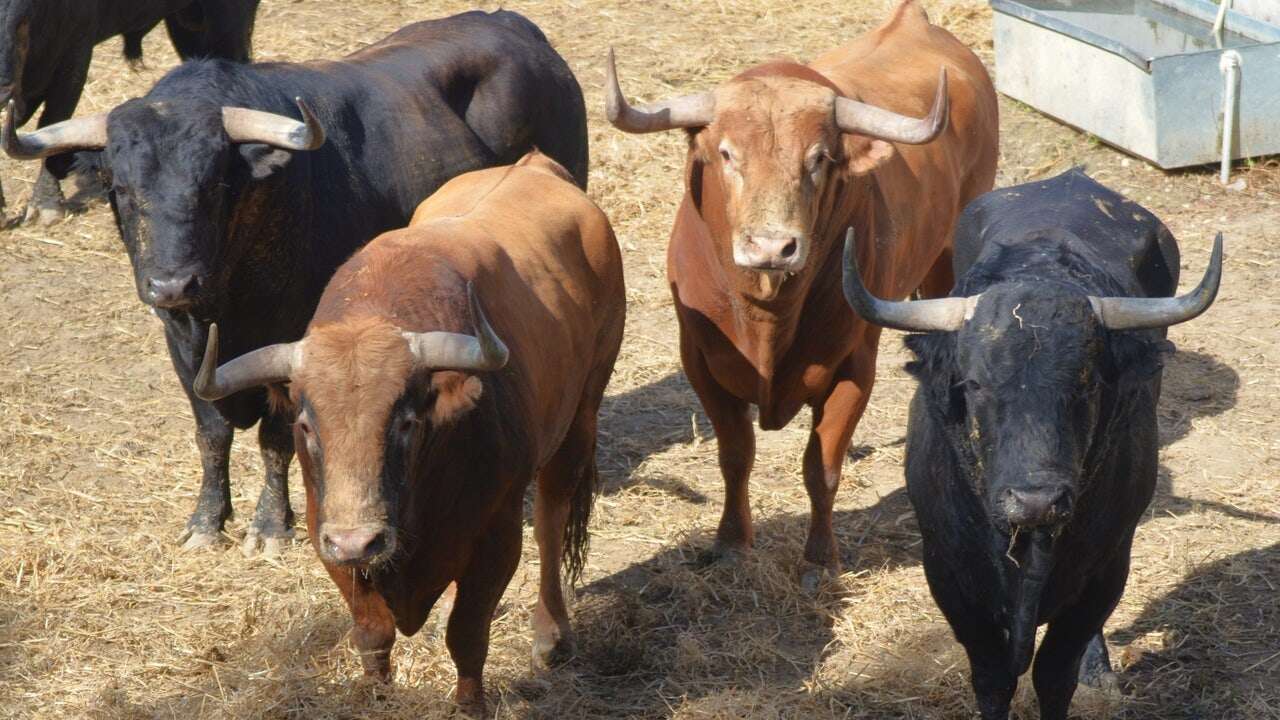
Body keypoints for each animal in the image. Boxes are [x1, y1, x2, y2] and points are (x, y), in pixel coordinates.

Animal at [192, 149, 627, 712]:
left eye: (406, 422)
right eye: (306, 424)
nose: (359, 539)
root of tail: (536, 165)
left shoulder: (496, 537)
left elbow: (468, 635)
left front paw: (469, 706)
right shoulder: (328, 536)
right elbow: (372, 633)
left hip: (580, 416)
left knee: (552, 518)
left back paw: (551, 633)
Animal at [601, 0, 998, 586]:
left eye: (818, 158)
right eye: (726, 154)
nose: (772, 246)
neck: (768, 315)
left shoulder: (854, 368)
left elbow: (821, 468)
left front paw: (819, 558)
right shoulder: (700, 361)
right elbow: (735, 456)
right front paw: (731, 542)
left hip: (946, 260)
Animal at [844, 169, 1223, 717]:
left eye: (1088, 382)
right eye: (974, 384)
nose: (1035, 500)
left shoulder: (1105, 571)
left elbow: (1055, 673)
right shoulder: (950, 577)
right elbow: (993, 678)